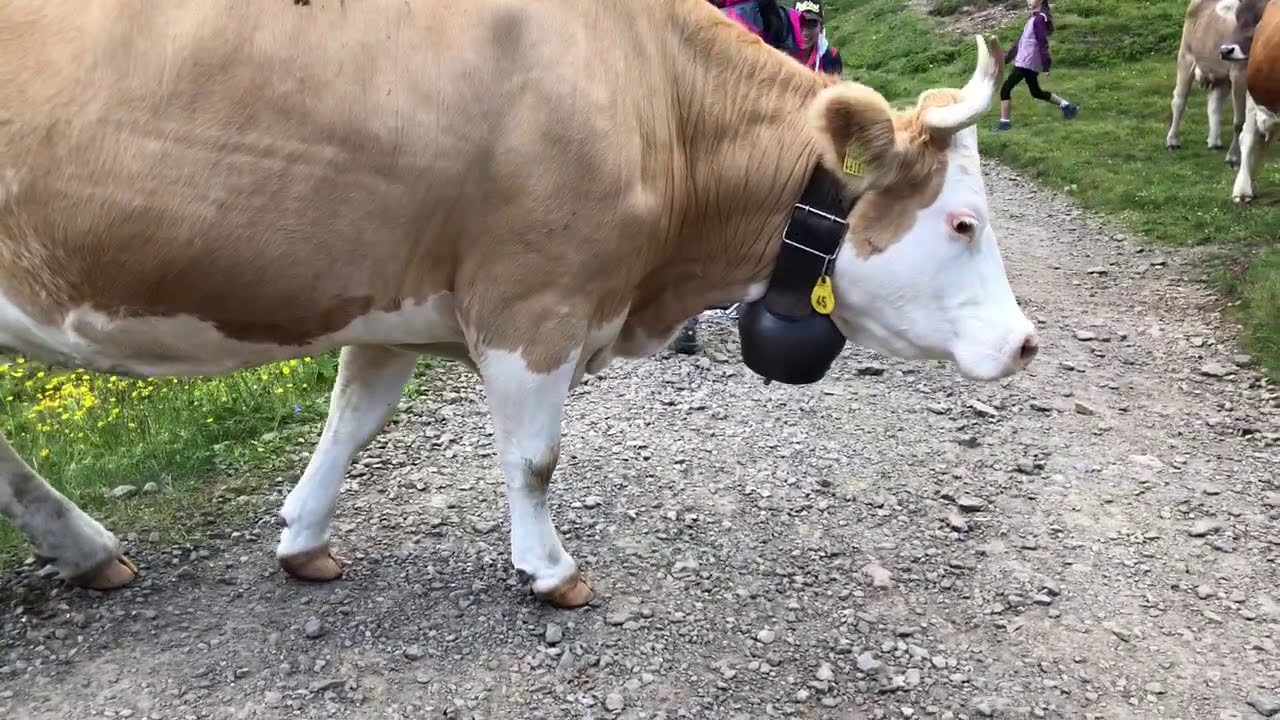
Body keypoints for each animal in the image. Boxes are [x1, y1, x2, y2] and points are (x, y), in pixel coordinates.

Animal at [0, 0, 1038, 609]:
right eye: (962, 224)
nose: (1027, 344)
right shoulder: (533, 302)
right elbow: (535, 459)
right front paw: (550, 570)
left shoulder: (399, 300)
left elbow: (352, 420)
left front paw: (304, 539)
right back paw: (84, 544)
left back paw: (83, 549)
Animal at [1167, 0, 1252, 166]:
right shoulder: (1240, 73)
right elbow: (1239, 121)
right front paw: (1233, 157)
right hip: (1186, 56)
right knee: (1179, 101)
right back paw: (1173, 141)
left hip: (1222, 75)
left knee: (1214, 103)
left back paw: (1214, 141)